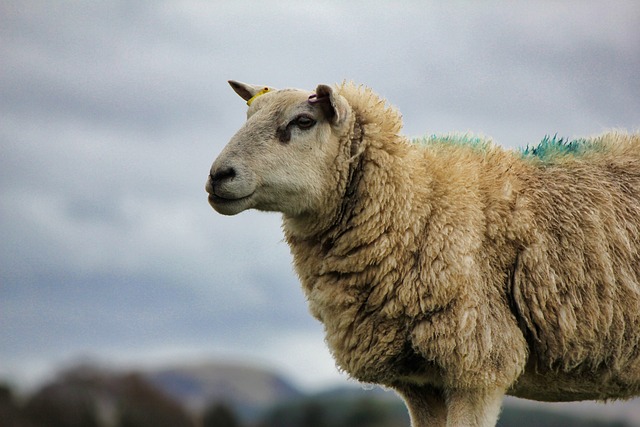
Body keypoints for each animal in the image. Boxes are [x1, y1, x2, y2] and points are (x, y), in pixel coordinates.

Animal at [205, 81, 640, 427]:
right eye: (248, 115)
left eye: (303, 121)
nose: (217, 176)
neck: (418, 204)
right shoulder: (418, 380)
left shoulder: (480, 363)